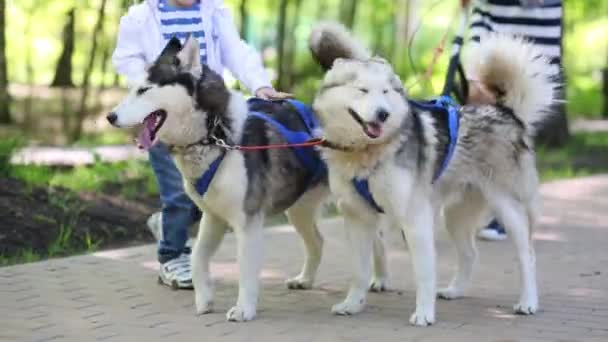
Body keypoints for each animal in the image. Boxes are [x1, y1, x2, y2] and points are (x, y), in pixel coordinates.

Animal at [107, 38, 388, 324]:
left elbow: (245, 270)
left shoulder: (247, 222)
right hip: (299, 209)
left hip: (354, 204)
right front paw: (204, 300)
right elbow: (197, 257)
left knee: (377, 240)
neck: (216, 135)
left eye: (144, 90)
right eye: (133, 89)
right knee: (319, 241)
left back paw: (379, 280)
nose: (110, 117)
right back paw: (305, 279)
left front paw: (244, 309)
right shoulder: (213, 217)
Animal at [308, 23, 556, 326]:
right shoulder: (357, 217)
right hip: (455, 216)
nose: (382, 114)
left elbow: (424, 274)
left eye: (386, 92)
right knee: (470, 253)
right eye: (362, 90)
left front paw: (424, 313)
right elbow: (359, 270)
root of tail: (506, 112)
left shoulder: (415, 218)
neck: (366, 152)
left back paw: (528, 302)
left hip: (509, 208)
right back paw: (455, 290)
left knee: (527, 257)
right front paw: (352, 304)